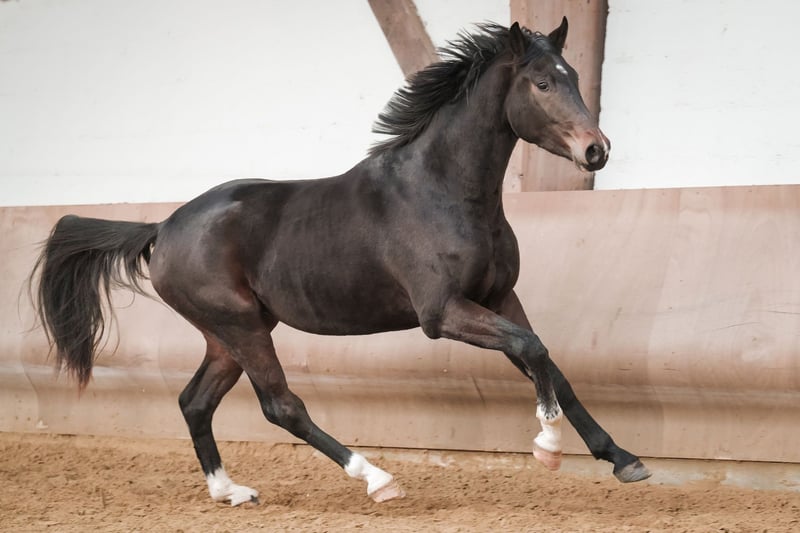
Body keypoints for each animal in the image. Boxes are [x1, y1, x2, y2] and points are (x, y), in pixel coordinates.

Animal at [29, 18, 650, 506]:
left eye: (574, 78)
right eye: (542, 83)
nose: (596, 150)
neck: (443, 190)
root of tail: (163, 228)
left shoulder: (499, 297)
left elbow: (550, 364)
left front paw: (624, 459)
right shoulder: (443, 313)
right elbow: (533, 351)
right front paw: (547, 448)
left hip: (226, 334)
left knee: (195, 401)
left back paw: (230, 492)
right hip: (242, 327)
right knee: (280, 405)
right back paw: (377, 478)